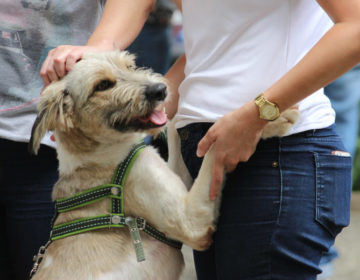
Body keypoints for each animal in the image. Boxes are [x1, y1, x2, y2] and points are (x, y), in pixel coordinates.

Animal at [28, 50, 298, 280]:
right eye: (102, 85)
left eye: (129, 65)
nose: (160, 90)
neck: (97, 155)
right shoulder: (190, 221)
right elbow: (215, 148)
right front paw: (273, 119)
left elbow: (175, 125)